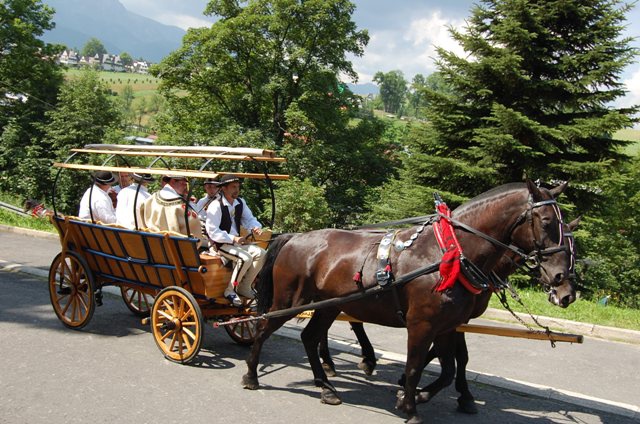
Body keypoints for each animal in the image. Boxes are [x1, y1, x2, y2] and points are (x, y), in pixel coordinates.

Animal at [242, 181, 572, 424]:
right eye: (546, 222)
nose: (561, 283)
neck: (448, 254)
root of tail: (295, 237)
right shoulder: (421, 324)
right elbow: (415, 366)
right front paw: (411, 406)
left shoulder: (449, 326)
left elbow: (449, 369)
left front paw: (418, 396)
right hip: (289, 300)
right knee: (262, 328)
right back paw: (251, 375)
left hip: (330, 305)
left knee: (311, 337)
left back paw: (326, 387)